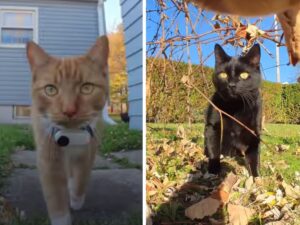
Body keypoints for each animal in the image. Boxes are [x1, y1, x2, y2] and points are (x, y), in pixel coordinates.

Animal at [25, 36, 108, 225]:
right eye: (50, 89)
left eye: (87, 88)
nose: (69, 110)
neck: (72, 136)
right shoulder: (48, 157)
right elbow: (55, 195)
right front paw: (62, 217)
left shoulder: (88, 150)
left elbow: (81, 178)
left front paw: (76, 200)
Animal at [205, 44, 262, 178]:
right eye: (223, 75)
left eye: (244, 75)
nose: (231, 85)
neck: (236, 107)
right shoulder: (213, 127)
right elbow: (214, 149)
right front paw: (214, 170)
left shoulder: (254, 132)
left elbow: (254, 157)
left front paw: (256, 177)